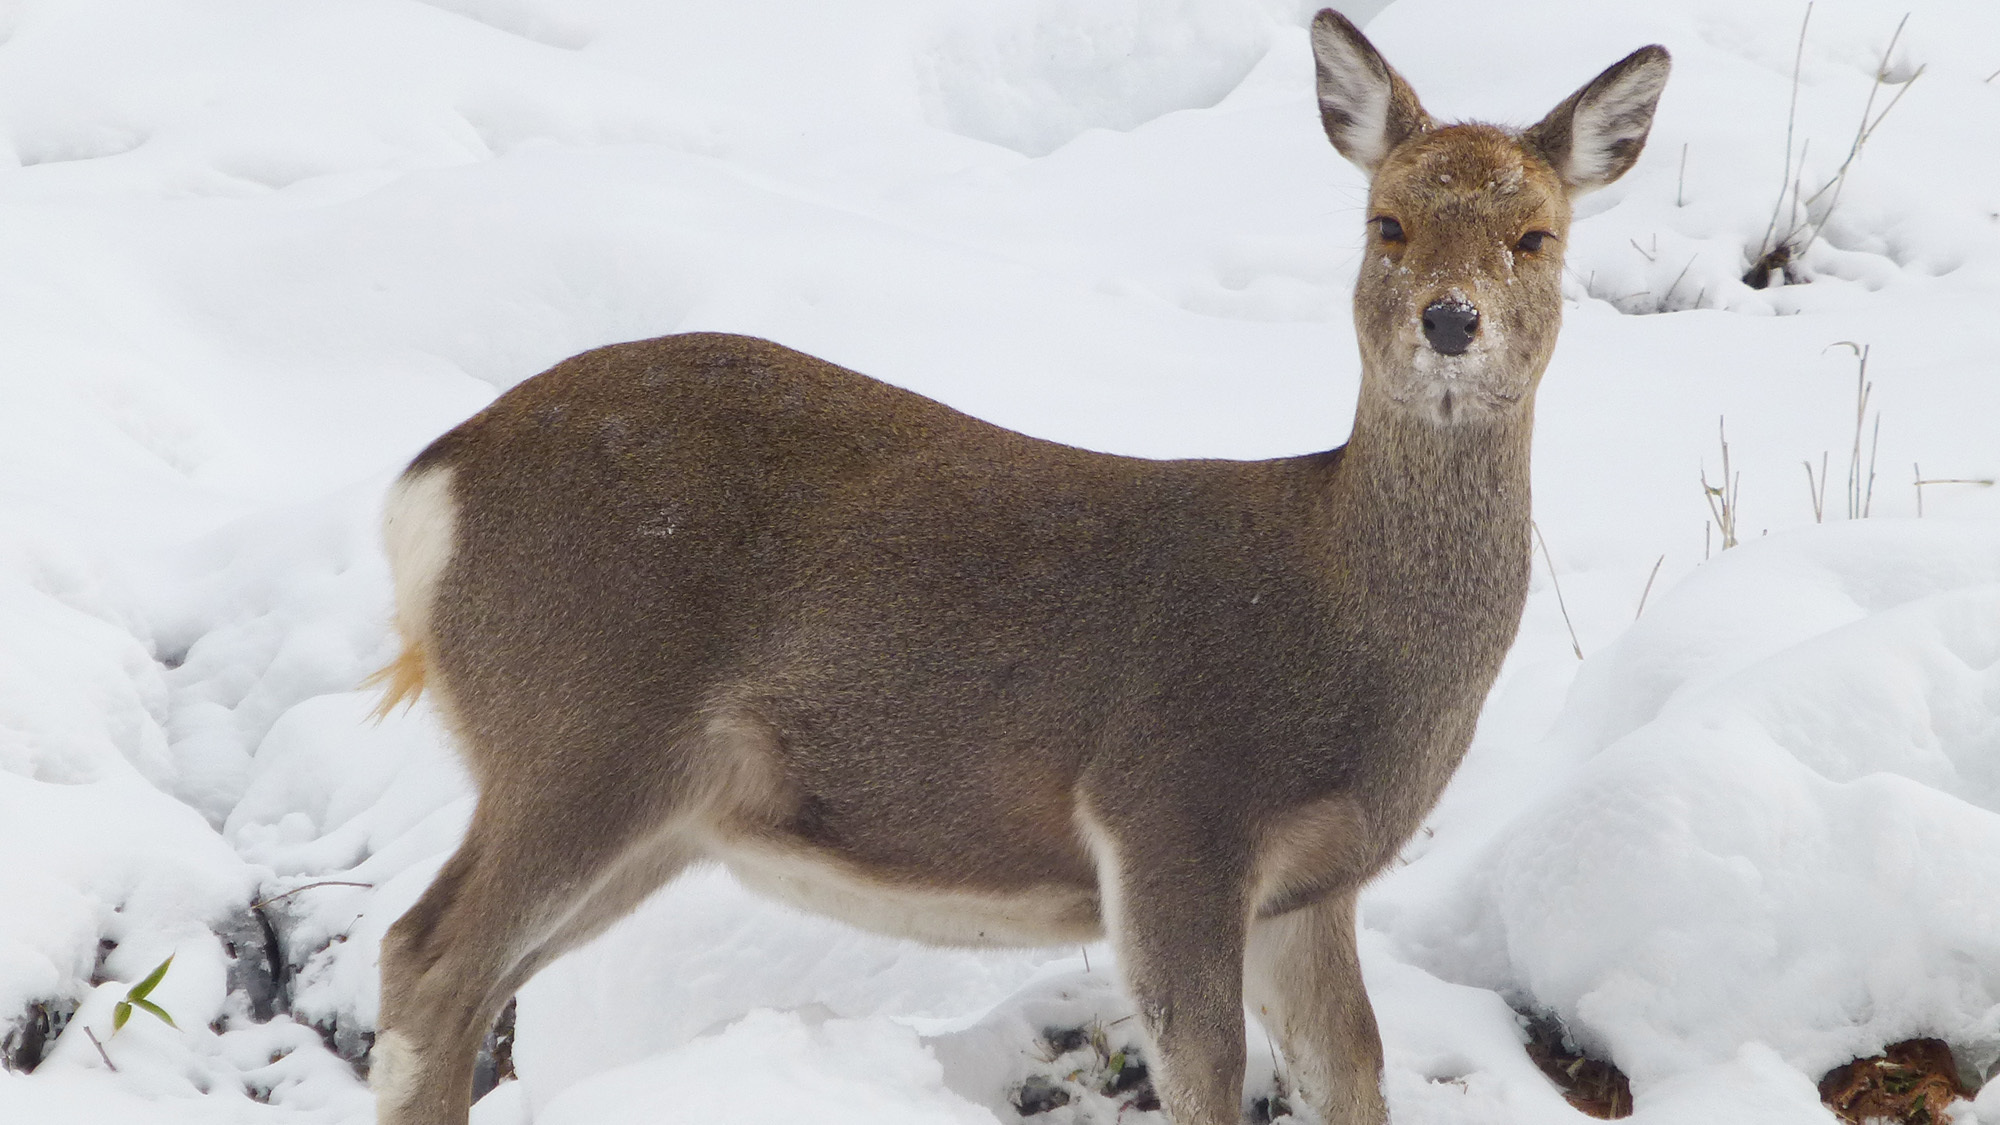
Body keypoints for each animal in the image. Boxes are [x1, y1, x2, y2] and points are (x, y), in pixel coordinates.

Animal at [368, 10, 1664, 1120]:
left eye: (1534, 235)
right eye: (1384, 224)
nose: (1448, 320)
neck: (1343, 624)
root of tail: (429, 488)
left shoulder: (1312, 883)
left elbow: (1350, 1070)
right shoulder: (1169, 808)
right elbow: (1204, 1072)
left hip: (663, 806)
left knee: (468, 977)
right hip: (579, 721)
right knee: (426, 958)